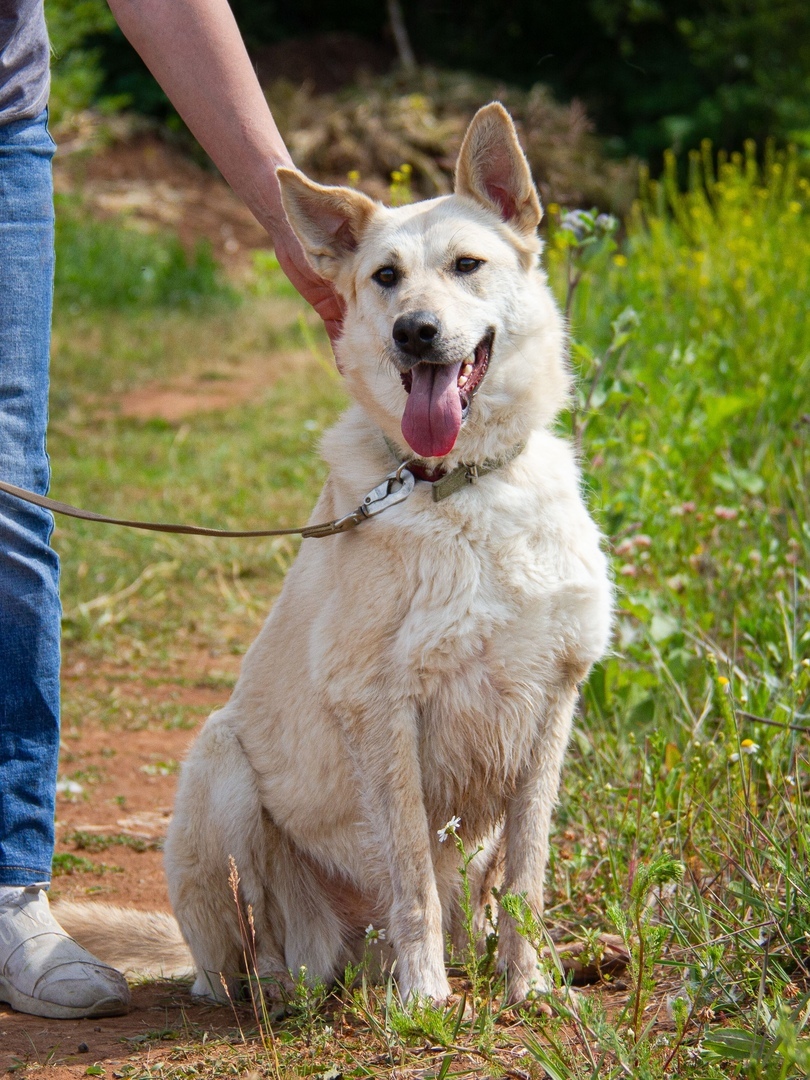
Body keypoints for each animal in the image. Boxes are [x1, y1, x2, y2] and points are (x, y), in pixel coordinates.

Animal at [60, 105, 613, 1006]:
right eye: (385, 277)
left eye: (466, 265)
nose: (414, 332)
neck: (460, 490)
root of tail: (350, 962)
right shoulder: (381, 709)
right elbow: (413, 876)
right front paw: (426, 1000)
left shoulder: (552, 702)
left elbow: (526, 875)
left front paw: (527, 985)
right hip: (220, 765)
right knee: (242, 960)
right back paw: (293, 994)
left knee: (472, 903)